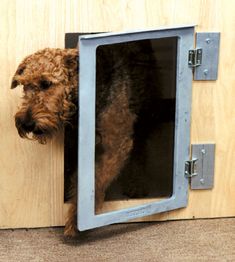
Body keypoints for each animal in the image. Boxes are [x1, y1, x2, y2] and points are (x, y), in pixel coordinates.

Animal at [10, 42, 160, 236]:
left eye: (46, 83)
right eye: (24, 85)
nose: (26, 123)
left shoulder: (116, 144)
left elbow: (97, 179)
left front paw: (76, 221)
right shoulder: (75, 144)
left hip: (143, 110)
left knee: (140, 149)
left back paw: (137, 184)